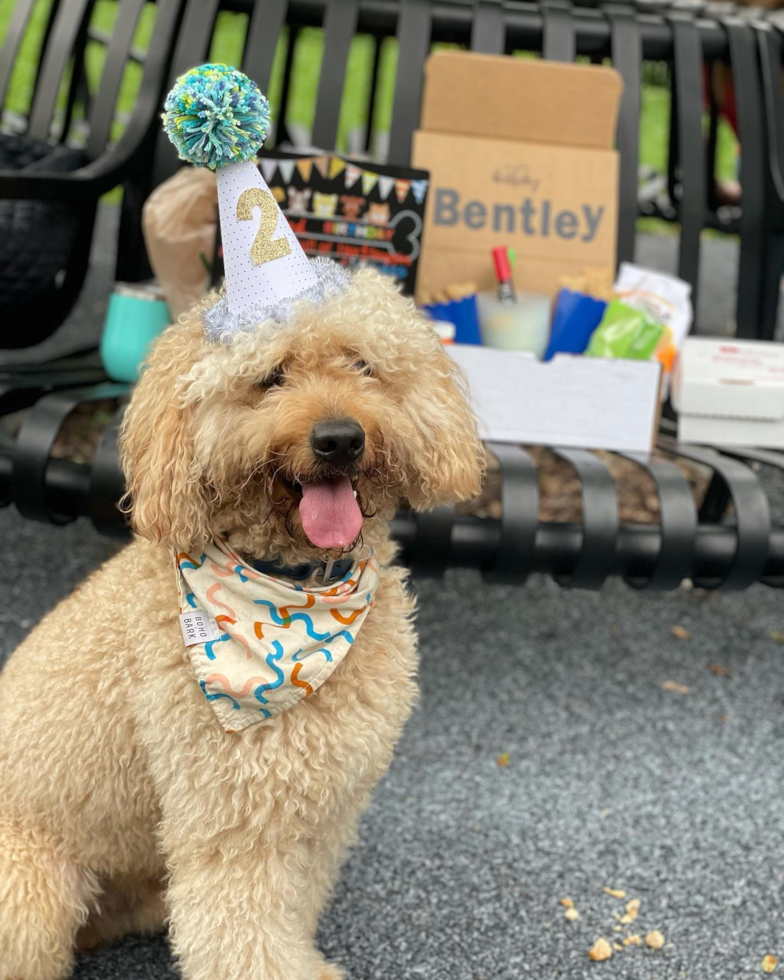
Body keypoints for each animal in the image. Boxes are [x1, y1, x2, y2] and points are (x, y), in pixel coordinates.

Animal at [0, 264, 484, 976]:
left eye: (362, 364)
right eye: (270, 375)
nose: (340, 438)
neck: (295, 594)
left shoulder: (322, 810)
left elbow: (289, 906)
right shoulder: (237, 815)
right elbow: (244, 929)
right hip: (32, 890)